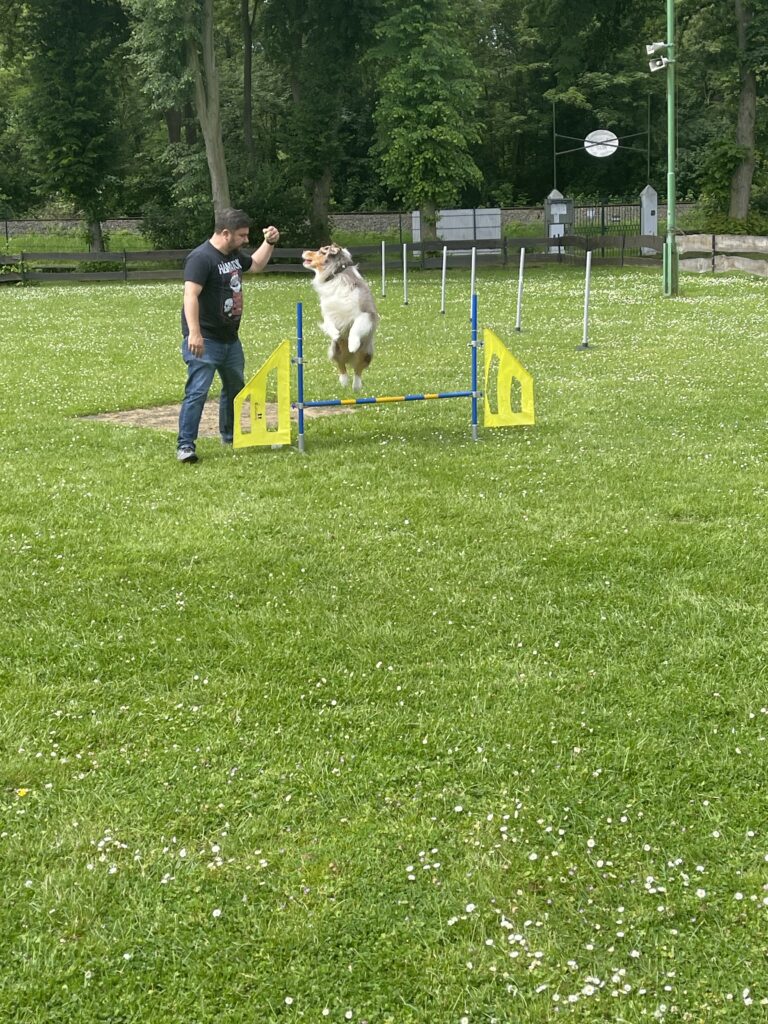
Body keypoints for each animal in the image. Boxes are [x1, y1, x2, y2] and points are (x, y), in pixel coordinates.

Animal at [302, 244, 379, 392]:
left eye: (321, 251)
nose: (304, 251)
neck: (336, 275)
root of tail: (349, 359)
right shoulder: (328, 312)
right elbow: (329, 323)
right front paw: (335, 334)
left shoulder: (366, 313)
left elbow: (356, 327)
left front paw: (353, 344)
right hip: (335, 350)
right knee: (341, 366)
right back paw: (344, 382)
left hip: (366, 353)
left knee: (358, 370)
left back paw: (356, 386)